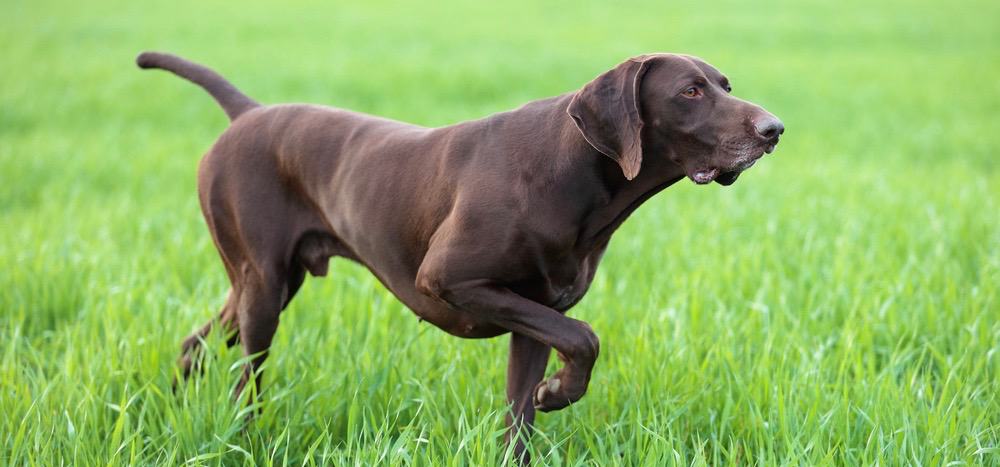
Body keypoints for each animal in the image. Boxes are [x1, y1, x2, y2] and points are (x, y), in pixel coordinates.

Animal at [139, 50, 780, 460]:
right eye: (690, 91)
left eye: (725, 85)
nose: (774, 129)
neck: (569, 171)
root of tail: (248, 112)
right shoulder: (452, 282)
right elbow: (584, 338)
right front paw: (559, 393)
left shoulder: (533, 316)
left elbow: (523, 410)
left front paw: (547, 397)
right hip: (265, 289)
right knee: (246, 381)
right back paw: (240, 439)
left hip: (260, 286)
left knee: (194, 345)